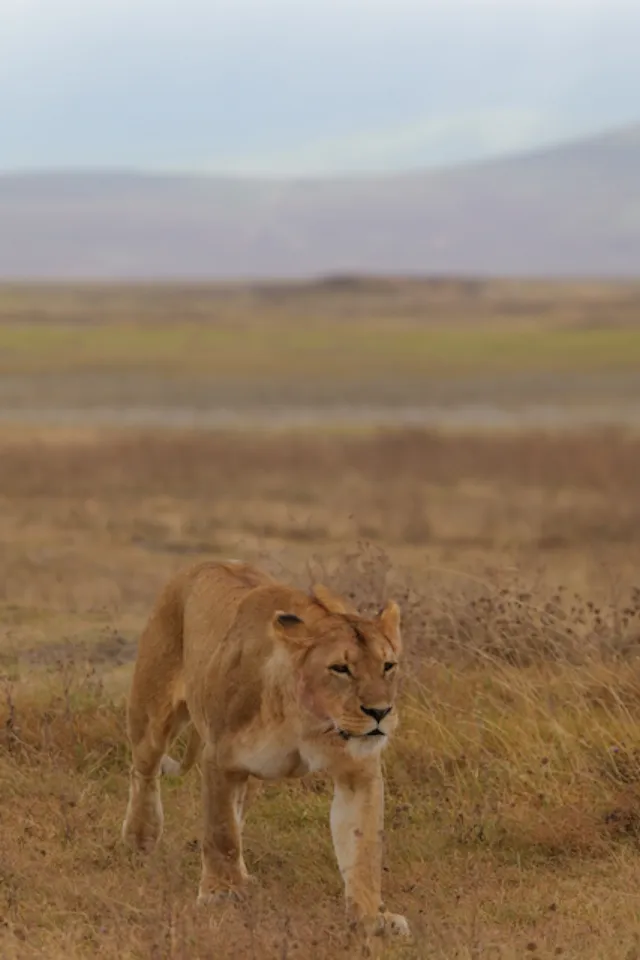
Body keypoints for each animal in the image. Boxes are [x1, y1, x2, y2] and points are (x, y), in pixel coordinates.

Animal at [122, 559, 410, 943]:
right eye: (340, 668)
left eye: (388, 666)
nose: (380, 712)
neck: (309, 721)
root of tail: (204, 562)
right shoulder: (220, 758)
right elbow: (221, 831)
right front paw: (222, 893)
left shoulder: (357, 772)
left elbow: (362, 848)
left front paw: (371, 917)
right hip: (152, 713)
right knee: (144, 770)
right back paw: (141, 836)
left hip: (251, 777)